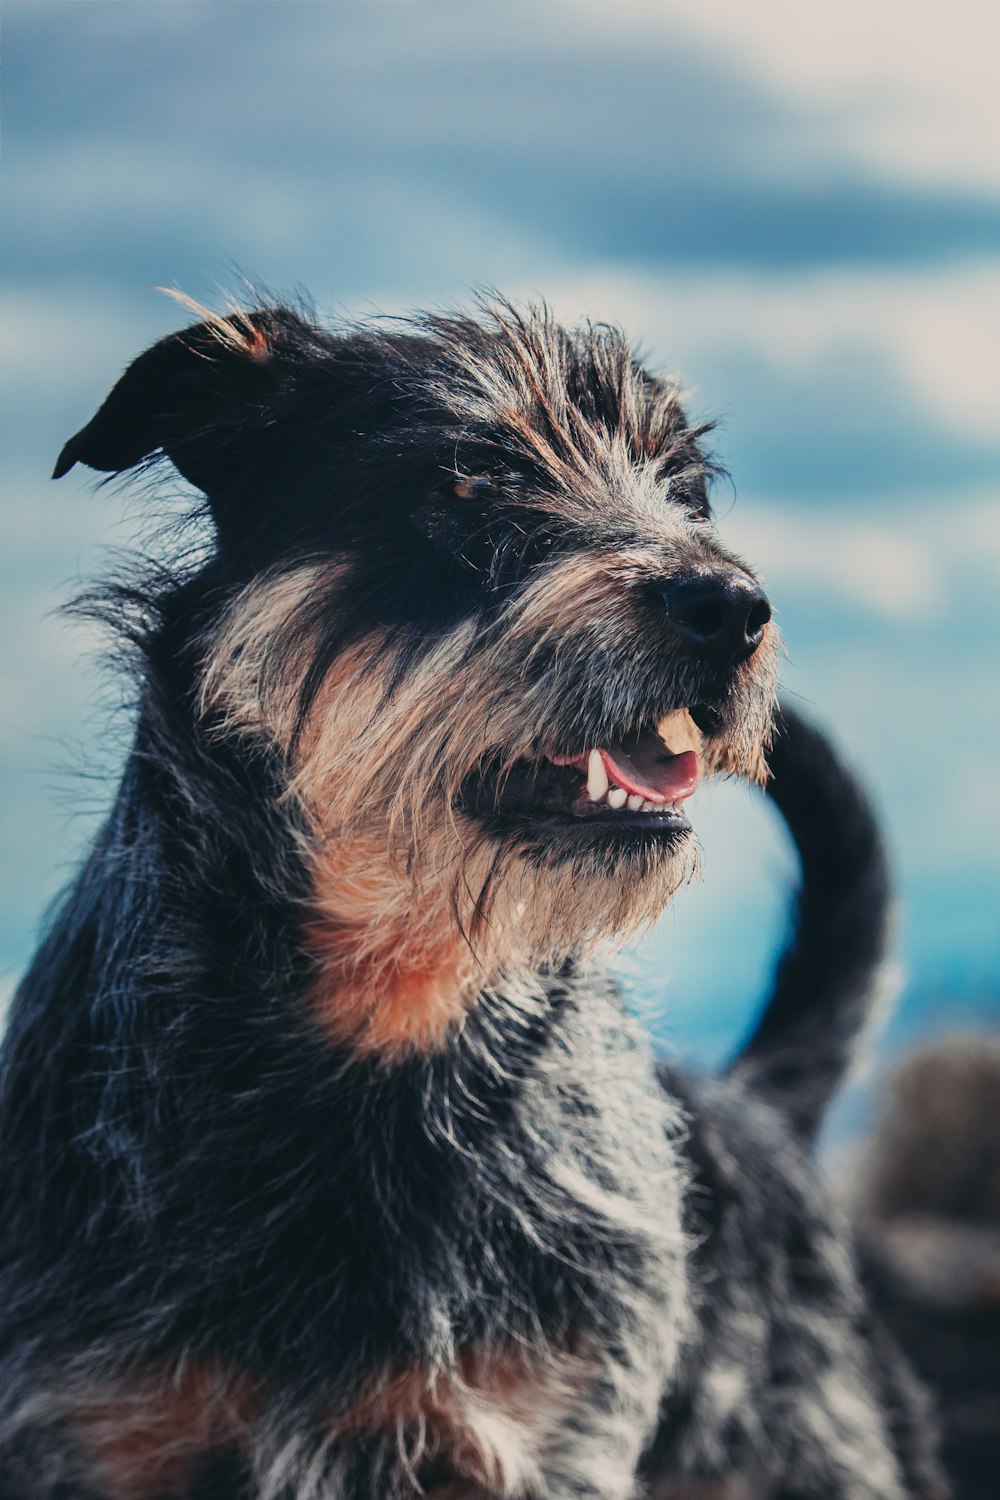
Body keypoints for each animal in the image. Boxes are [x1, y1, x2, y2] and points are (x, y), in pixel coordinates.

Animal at [0, 295, 947, 1500]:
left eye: (684, 489)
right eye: (474, 476)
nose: (733, 606)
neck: (383, 1025)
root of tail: (753, 1111)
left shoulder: (542, 1440)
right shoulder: (90, 1431)